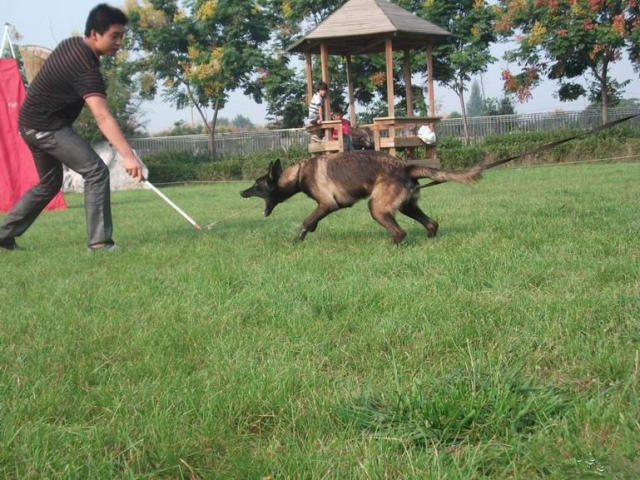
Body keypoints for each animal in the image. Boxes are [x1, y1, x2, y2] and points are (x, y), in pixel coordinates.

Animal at [240, 151, 480, 244]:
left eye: (257, 185)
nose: (241, 192)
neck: (298, 173)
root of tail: (406, 167)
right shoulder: (325, 206)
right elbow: (312, 221)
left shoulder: (327, 204)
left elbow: (307, 221)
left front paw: (297, 240)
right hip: (407, 206)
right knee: (431, 224)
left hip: (377, 207)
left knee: (399, 232)